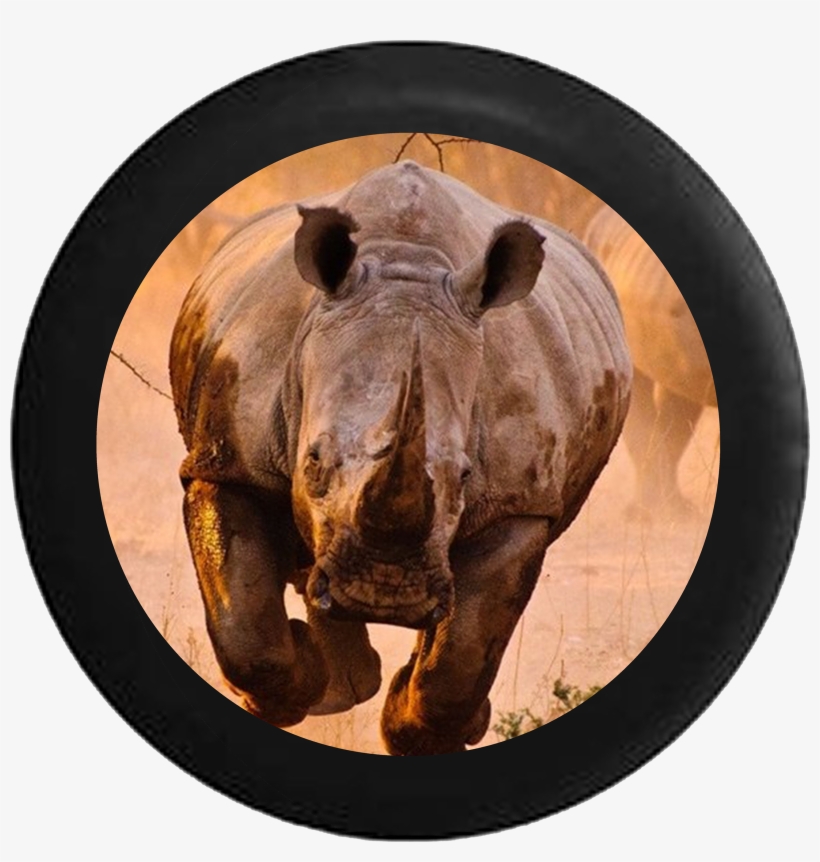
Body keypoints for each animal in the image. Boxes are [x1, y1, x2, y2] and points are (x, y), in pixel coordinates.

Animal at [170, 161, 631, 755]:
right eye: (312, 460)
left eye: (464, 475)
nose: (384, 592)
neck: (406, 261)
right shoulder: (227, 461)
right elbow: (246, 629)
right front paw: (289, 694)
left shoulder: (519, 501)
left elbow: (462, 655)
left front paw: (417, 732)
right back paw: (340, 687)